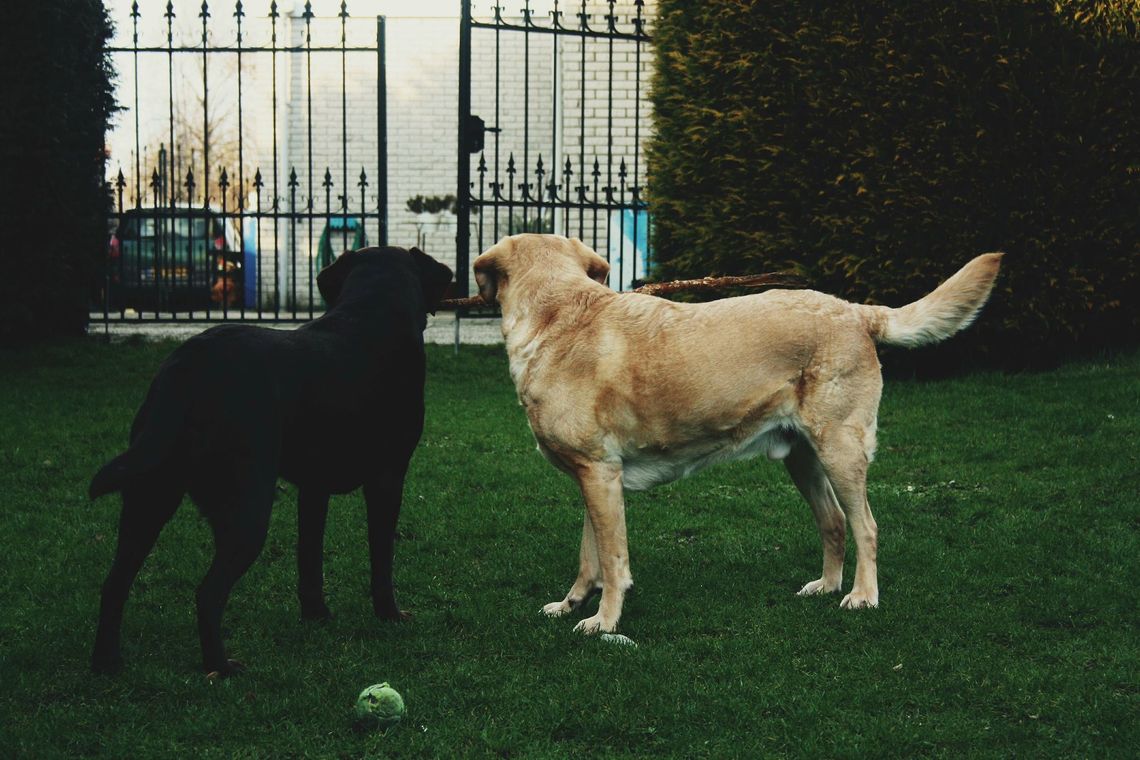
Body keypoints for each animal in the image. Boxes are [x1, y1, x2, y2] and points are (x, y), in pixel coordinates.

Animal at [90, 248, 453, 679]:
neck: (372, 309)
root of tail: (187, 366)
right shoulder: (387, 477)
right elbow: (381, 556)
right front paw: (390, 614)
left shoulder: (313, 487)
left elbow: (309, 556)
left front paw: (316, 614)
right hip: (246, 507)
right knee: (207, 593)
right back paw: (220, 667)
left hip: (148, 494)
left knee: (114, 583)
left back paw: (107, 662)